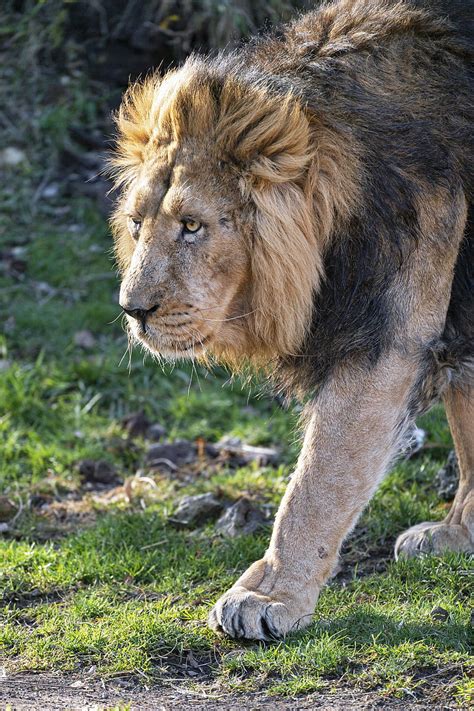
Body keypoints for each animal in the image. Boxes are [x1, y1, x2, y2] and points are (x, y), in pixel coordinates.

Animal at [109, 0, 472, 644]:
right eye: (135, 224)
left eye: (192, 226)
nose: (134, 310)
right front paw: (460, 533)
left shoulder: (386, 340)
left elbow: (317, 483)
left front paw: (266, 595)